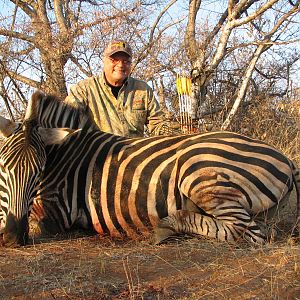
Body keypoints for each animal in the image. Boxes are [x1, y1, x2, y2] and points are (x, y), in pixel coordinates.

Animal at [0, 92, 298, 246]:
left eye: (38, 170)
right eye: (3, 167)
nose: (13, 237)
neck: (64, 154)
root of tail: (286, 159)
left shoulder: (57, 212)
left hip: (198, 171)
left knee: (247, 233)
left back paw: (167, 225)